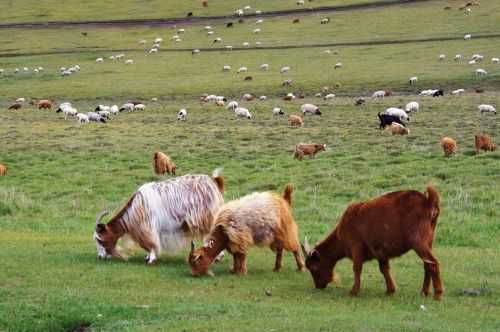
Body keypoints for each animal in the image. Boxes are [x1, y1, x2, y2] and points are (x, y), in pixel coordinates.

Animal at [93, 171, 225, 264]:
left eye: (100, 239)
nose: (100, 257)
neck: (135, 208)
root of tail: (213, 182)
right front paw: (148, 257)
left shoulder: (146, 227)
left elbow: (150, 243)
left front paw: (151, 259)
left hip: (207, 218)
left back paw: (217, 257)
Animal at [302, 185, 444, 300]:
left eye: (314, 267)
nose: (318, 286)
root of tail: (427, 201)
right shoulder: (380, 251)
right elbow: (384, 269)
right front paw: (390, 290)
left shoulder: (356, 247)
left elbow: (357, 268)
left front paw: (353, 291)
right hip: (428, 242)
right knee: (427, 264)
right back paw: (424, 292)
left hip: (418, 242)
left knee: (433, 264)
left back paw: (438, 295)